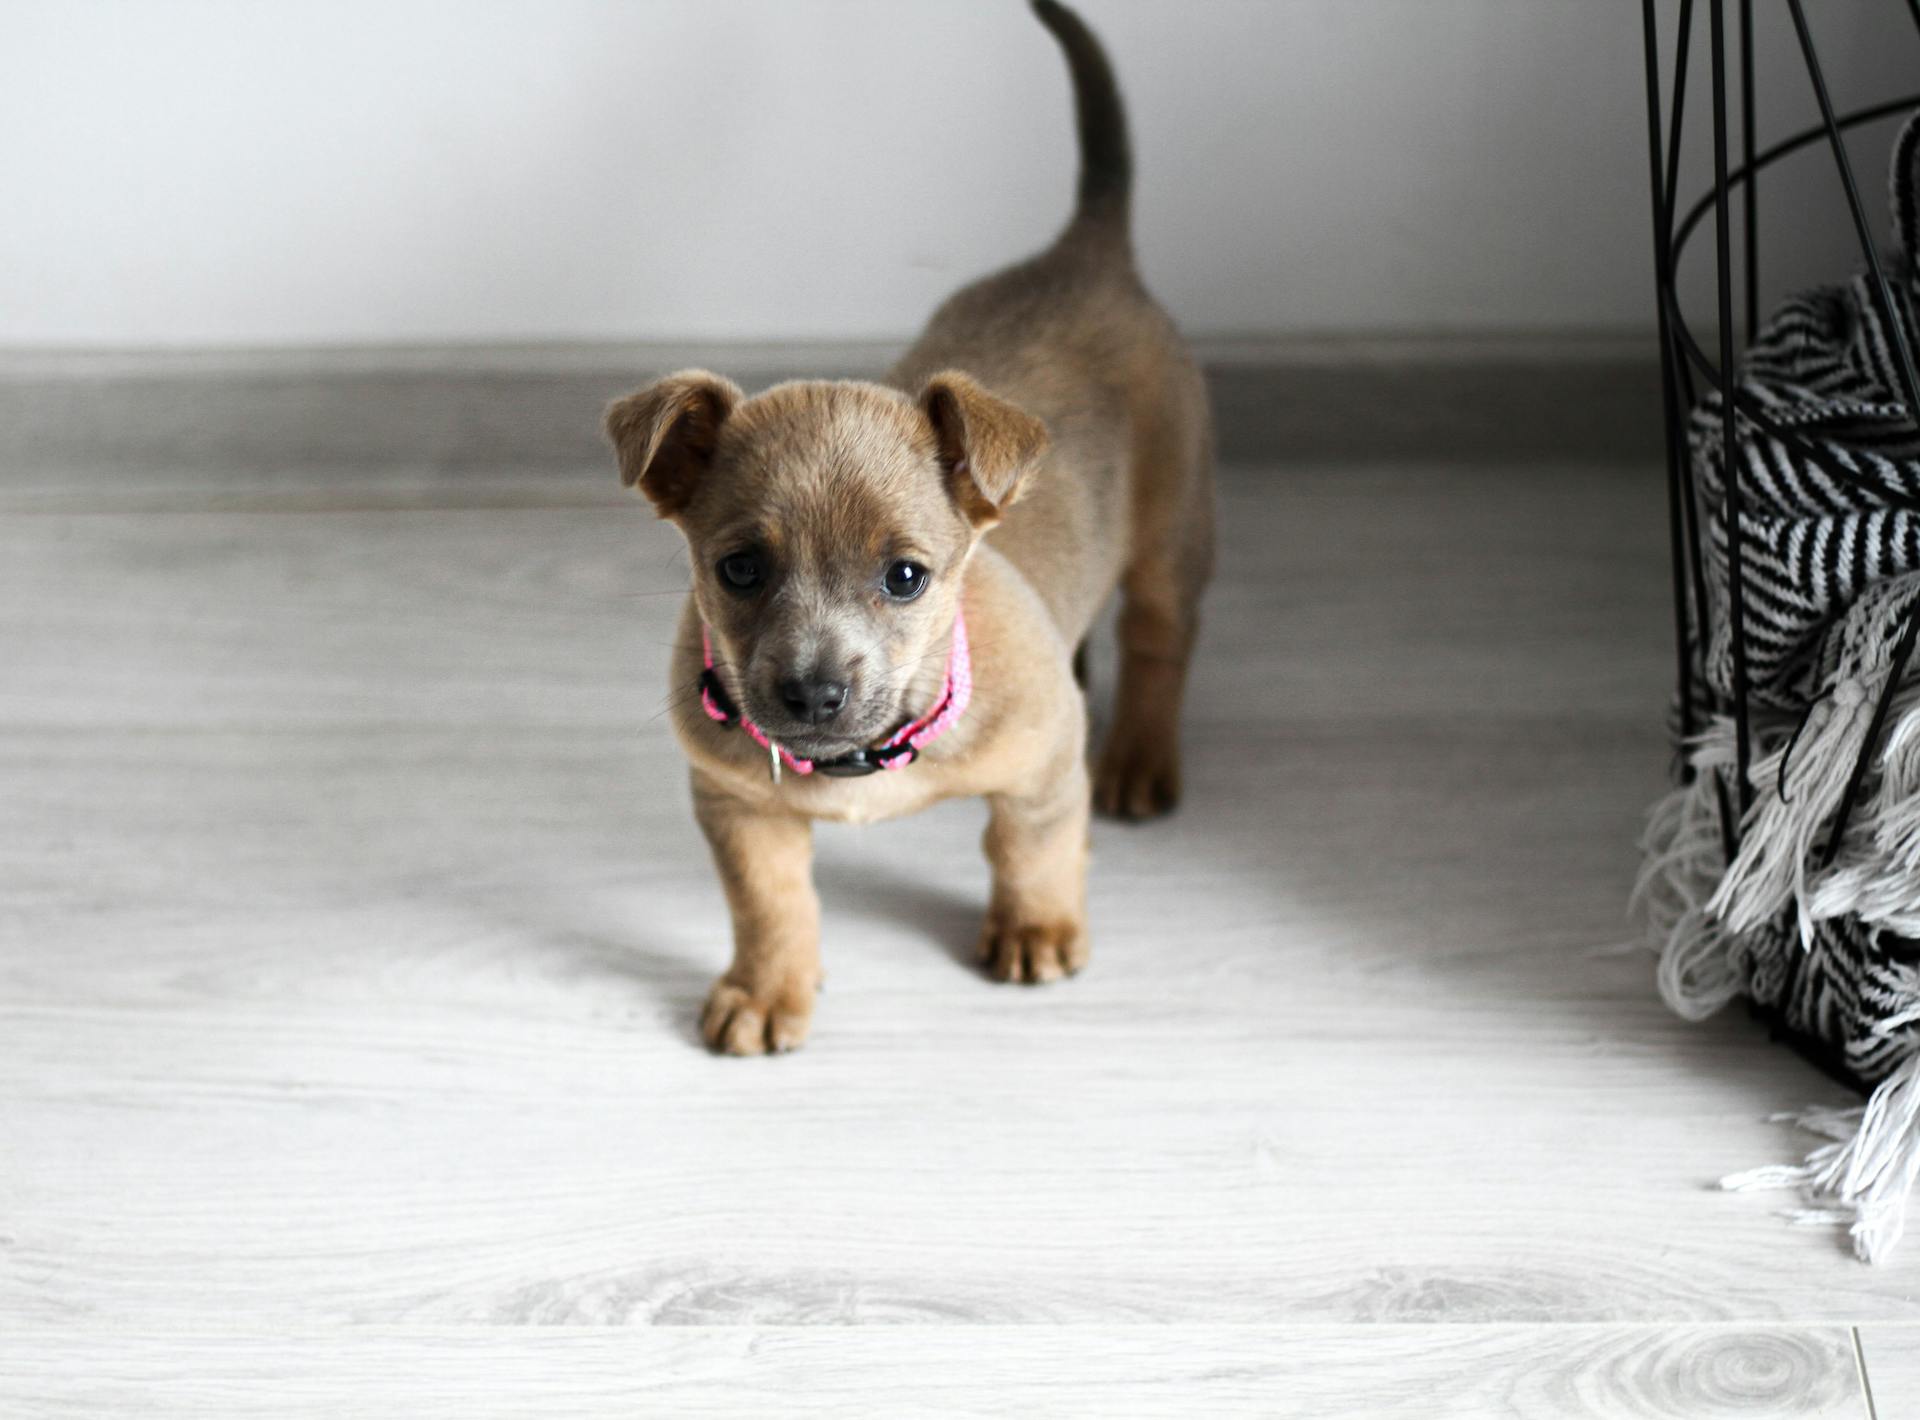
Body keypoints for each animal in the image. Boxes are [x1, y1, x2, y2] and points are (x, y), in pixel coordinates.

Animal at [606, 0, 1205, 1051]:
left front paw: (1036, 928)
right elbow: (770, 905)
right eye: (739, 569)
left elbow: (1030, 852)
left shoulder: (1041, 773)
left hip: (1172, 540)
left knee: (1159, 643)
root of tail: (1085, 254)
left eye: (906, 577)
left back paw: (1137, 758)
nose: (811, 694)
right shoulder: (738, 810)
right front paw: (767, 987)